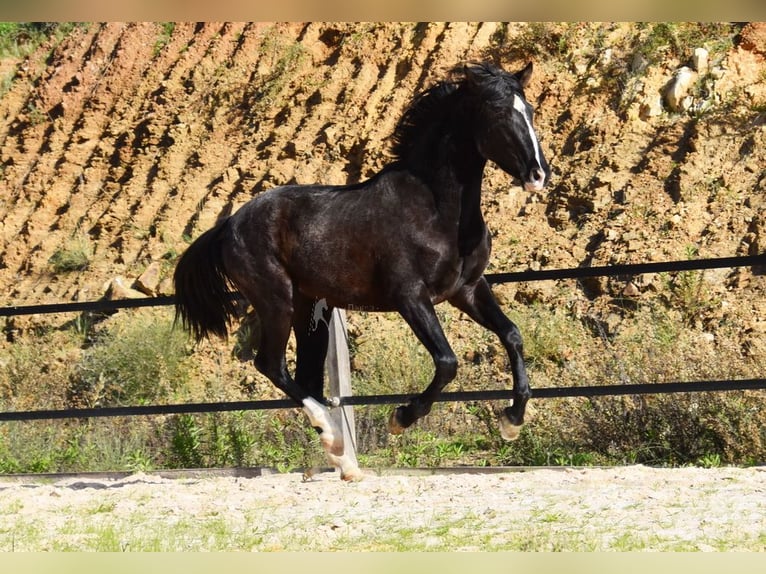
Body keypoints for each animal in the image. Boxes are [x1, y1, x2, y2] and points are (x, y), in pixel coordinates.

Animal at [174, 62, 552, 482]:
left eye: (530, 110)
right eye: (498, 113)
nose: (539, 175)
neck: (436, 209)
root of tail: (229, 224)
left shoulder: (466, 289)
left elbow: (512, 335)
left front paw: (512, 421)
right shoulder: (410, 297)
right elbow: (447, 362)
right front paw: (400, 418)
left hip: (311, 309)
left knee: (304, 376)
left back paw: (344, 461)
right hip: (276, 301)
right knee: (271, 365)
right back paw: (333, 437)